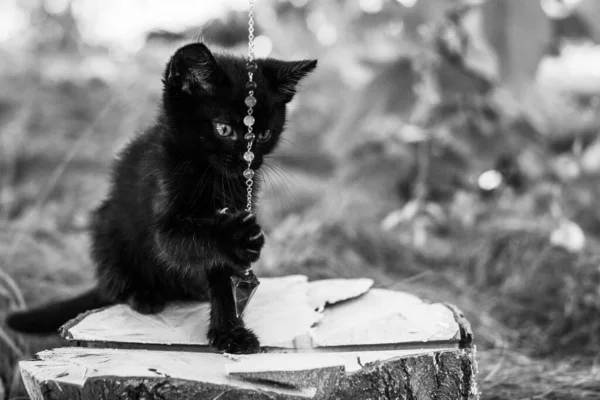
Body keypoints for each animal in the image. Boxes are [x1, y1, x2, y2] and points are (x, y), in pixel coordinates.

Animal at [7, 43, 316, 354]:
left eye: (264, 134)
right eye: (224, 129)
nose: (248, 163)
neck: (212, 176)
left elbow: (223, 277)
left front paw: (229, 333)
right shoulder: (163, 202)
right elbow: (182, 241)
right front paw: (235, 236)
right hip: (107, 223)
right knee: (114, 282)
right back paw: (143, 295)